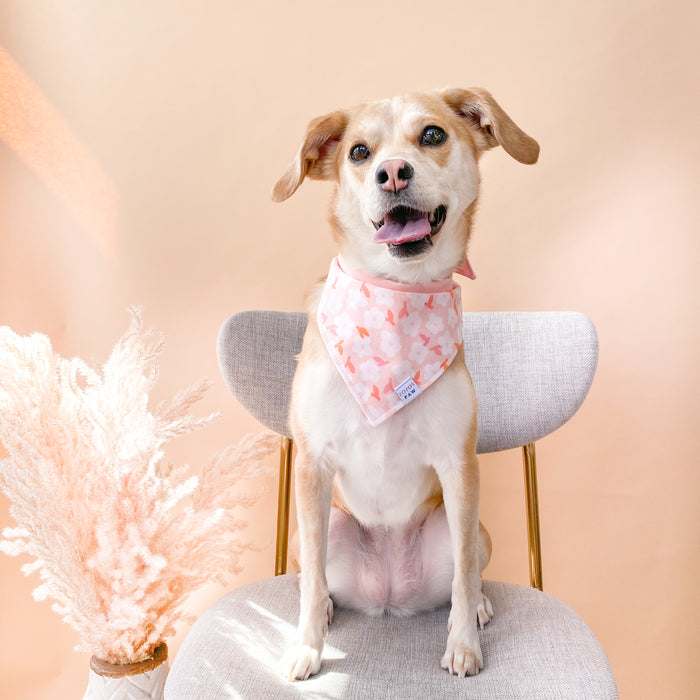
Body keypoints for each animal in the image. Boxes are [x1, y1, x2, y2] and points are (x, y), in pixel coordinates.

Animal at [270, 89, 540, 684]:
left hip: (471, 525)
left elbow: (463, 578)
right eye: (359, 151)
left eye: (432, 135)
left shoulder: (459, 464)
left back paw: (478, 608)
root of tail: (389, 598)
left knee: (468, 571)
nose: (392, 172)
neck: (396, 296)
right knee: (316, 575)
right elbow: (309, 586)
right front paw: (306, 647)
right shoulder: (312, 464)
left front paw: (463, 645)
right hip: (323, 527)